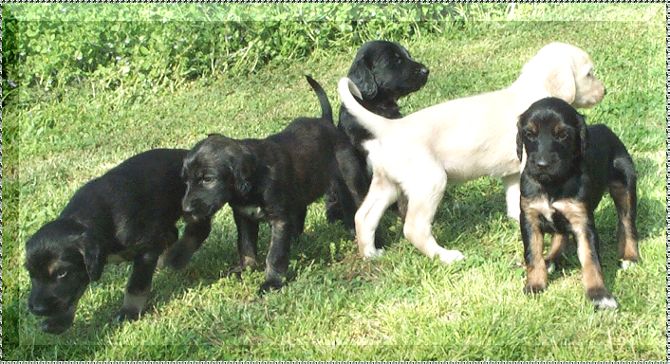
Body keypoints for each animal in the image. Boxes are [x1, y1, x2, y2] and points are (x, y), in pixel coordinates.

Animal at [25, 149, 211, 334]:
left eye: (62, 273)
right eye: (30, 273)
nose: (38, 309)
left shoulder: (145, 250)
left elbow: (136, 285)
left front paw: (129, 312)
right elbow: (71, 293)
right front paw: (58, 322)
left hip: (193, 206)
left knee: (198, 230)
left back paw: (177, 257)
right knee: (172, 235)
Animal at [168, 76, 368, 292]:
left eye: (208, 179)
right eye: (185, 180)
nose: (186, 209)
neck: (251, 183)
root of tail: (325, 121)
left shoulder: (279, 219)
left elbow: (275, 254)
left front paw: (272, 282)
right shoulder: (244, 217)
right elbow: (246, 245)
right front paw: (245, 269)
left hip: (349, 180)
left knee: (354, 204)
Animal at [338, 42, 608, 262]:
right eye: (589, 73)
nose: (604, 91)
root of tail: (389, 127)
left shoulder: (513, 173)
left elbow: (515, 200)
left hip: (387, 184)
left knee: (364, 216)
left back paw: (371, 254)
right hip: (430, 182)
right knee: (414, 229)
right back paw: (446, 256)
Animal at [516, 97, 644, 310]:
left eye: (563, 135)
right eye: (529, 134)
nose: (542, 165)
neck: (553, 184)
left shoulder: (582, 220)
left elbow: (591, 260)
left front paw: (599, 295)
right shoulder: (529, 216)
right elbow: (532, 254)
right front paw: (534, 285)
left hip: (625, 184)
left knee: (627, 223)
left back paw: (630, 257)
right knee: (560, 235)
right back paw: (550, 259)